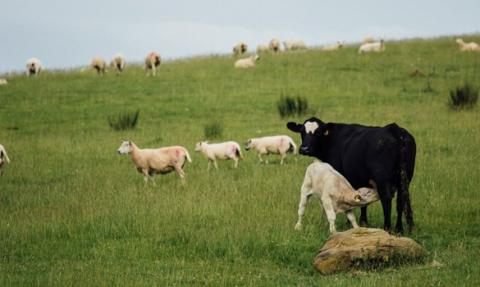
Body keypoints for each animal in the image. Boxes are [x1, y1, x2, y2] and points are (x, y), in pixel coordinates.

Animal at [288, 117, 416, 234]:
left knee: (386, 200)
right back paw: (400, 229)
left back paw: (387, 228)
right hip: (405, 178)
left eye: (318, 132)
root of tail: (394, 129)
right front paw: (363, 222)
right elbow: (362, 203)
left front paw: (349, 223)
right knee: (401, 201)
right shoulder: (361, 179)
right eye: (302, 132)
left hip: (382, 179)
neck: (332, 139)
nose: (304, 149)